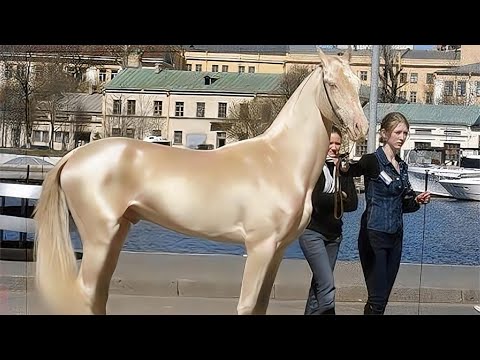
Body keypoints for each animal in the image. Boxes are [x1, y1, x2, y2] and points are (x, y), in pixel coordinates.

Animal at [34, 49, 368, 314]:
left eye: (357, 82)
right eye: (331, 83)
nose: (361, 128)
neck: (279, 160)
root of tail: (73, 156)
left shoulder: (278, 251)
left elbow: (260, 306)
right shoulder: (260, 247)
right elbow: (247, 305)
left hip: (116, 233)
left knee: (98, 295)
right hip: (99, 237)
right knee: (86, 294)